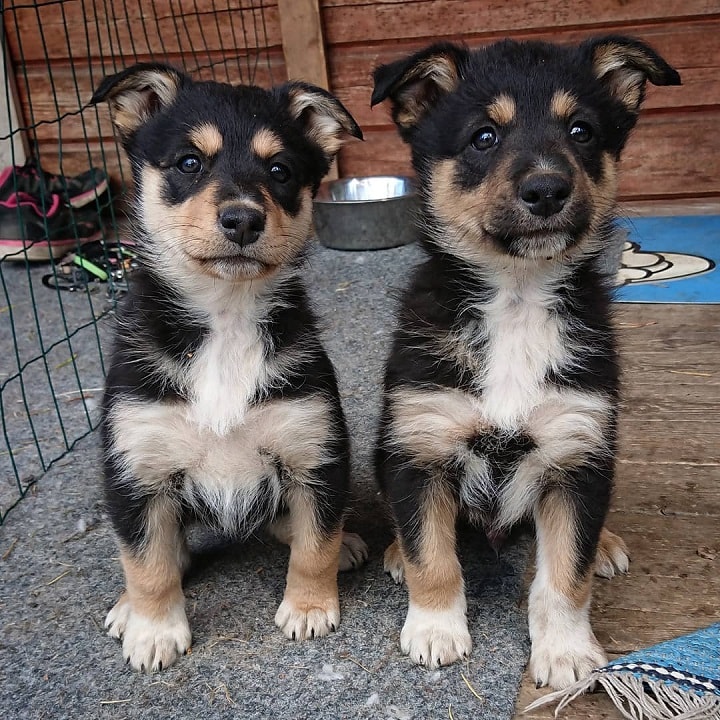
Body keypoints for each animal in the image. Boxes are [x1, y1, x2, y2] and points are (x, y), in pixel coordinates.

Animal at [91, 64, 366, 672]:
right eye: (189, 162)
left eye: (280, 171)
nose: (242, 219)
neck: (227, 317)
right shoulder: (136, 469)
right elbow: (146, 563)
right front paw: (153, 631)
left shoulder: (313, 450)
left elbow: (316, 542)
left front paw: (309, 608)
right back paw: (124, 608)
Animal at [372, 36, 680, 688]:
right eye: (484, 136)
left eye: (581, 131)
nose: (547, 190)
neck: (515, 300)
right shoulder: (420, 443)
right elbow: (432, 556)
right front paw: (435, 630)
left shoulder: (577, 452)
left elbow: (566, 573)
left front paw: (564, 652)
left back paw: (606, 543)